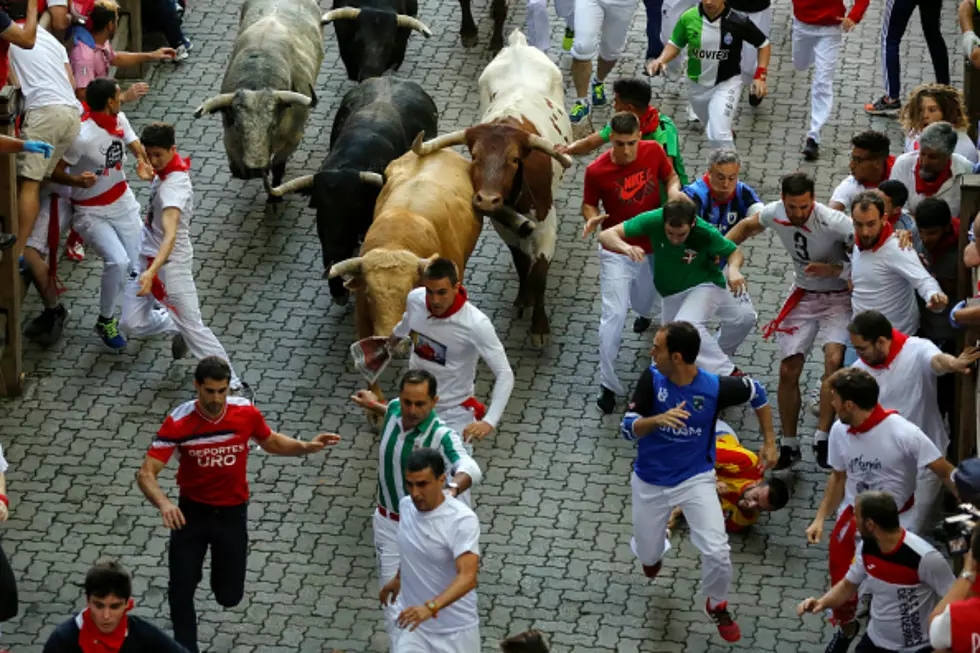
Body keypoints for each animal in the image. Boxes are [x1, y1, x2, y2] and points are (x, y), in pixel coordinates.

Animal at [195, 0, 326, 200]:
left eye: (272, 126)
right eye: (239, 127)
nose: (255, 169)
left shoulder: (293, 138)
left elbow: (278, 166)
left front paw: (274, 195)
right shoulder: (228, 133)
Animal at [408, 29, 576, 348]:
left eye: (514, 159)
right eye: (475, 156)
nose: (486, 199)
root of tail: (518, 44)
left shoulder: (547, 224)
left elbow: (539, 273)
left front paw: (539, 327)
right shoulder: (502, 225)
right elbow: (521, 261)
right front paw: (524, 297)